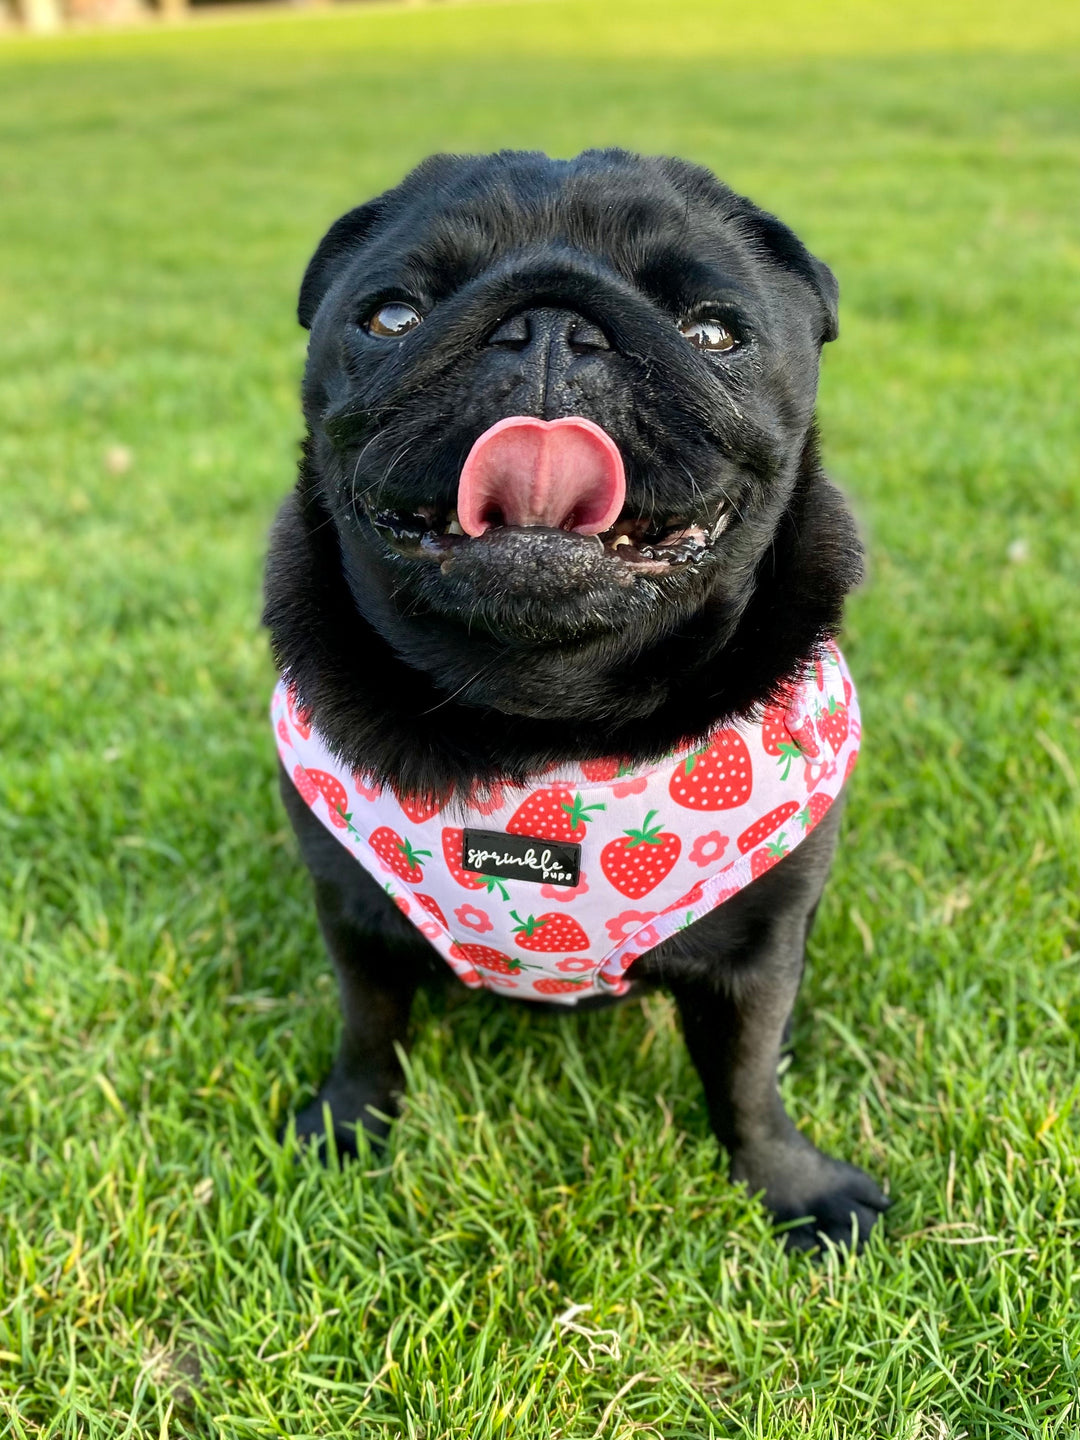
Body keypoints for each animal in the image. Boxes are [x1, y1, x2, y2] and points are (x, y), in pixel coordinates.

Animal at [266, 149, 892, 1249]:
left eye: (712, 332)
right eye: (392, 317)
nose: (550, 324)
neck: (543, 713)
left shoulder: (760, 953)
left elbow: (746, 1081)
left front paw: (791, 1188)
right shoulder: (354, 914)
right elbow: (369, 1032)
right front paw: (347, 1131)